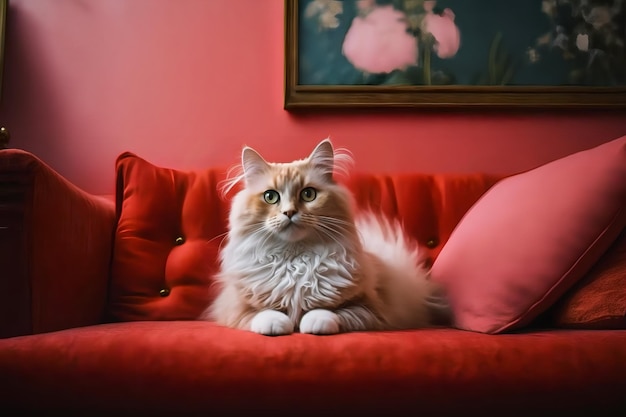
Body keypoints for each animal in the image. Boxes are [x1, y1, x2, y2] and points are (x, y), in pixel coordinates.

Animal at [205, 137, 448, 334]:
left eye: (308, 194)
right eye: (270, 197)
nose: (289, 212)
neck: (295, 261)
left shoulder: (370, 309)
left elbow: (328, 313)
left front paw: (311, 324)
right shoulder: (233, 307)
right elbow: (262, 314)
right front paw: (279, 325)